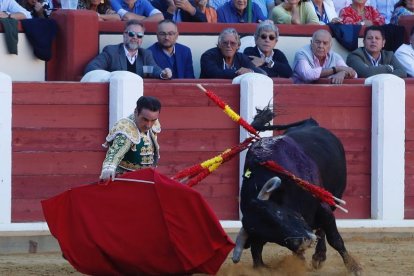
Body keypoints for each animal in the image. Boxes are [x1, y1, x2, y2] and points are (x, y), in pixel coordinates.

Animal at [233, 119, 362, 274]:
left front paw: (354, 267)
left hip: (334, 197)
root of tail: (311, 123)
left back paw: (319, 256)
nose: (302, 242)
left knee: (322, 230)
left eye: (279, 214)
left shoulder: (323, 207)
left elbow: (335, 239)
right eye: (270, 235)